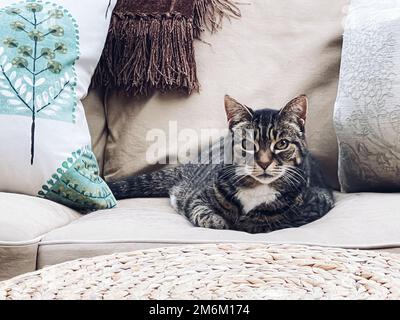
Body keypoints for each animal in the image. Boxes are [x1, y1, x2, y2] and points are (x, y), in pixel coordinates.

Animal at [108, 94, 332, 232]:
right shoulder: (199, 195)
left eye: (282, 144)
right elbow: (200, 209)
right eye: (247, 143)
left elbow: (270, 221)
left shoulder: (316, 203)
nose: (264, 163)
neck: (257, 189)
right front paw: (218, 221)